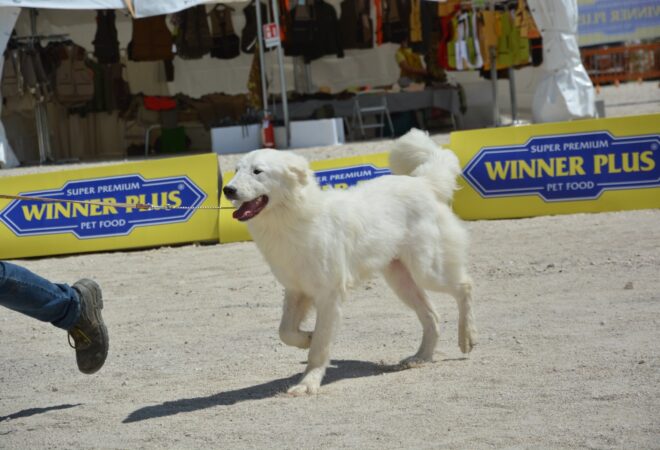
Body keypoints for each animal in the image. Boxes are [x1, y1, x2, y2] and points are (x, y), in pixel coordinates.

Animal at [224, 128, 476, 396]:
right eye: (237, 169)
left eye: (257, 171)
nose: (227, 190)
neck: (293, 218)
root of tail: (422, 182)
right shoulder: (296, 290)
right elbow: (286, 332)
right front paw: (306, 338)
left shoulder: (329, 295)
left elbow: (320, 347)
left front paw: (308, 383)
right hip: (401, 280)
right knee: (432, 316)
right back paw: (421, 357)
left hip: (427, 270)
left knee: (464, 287)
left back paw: (466, 337)